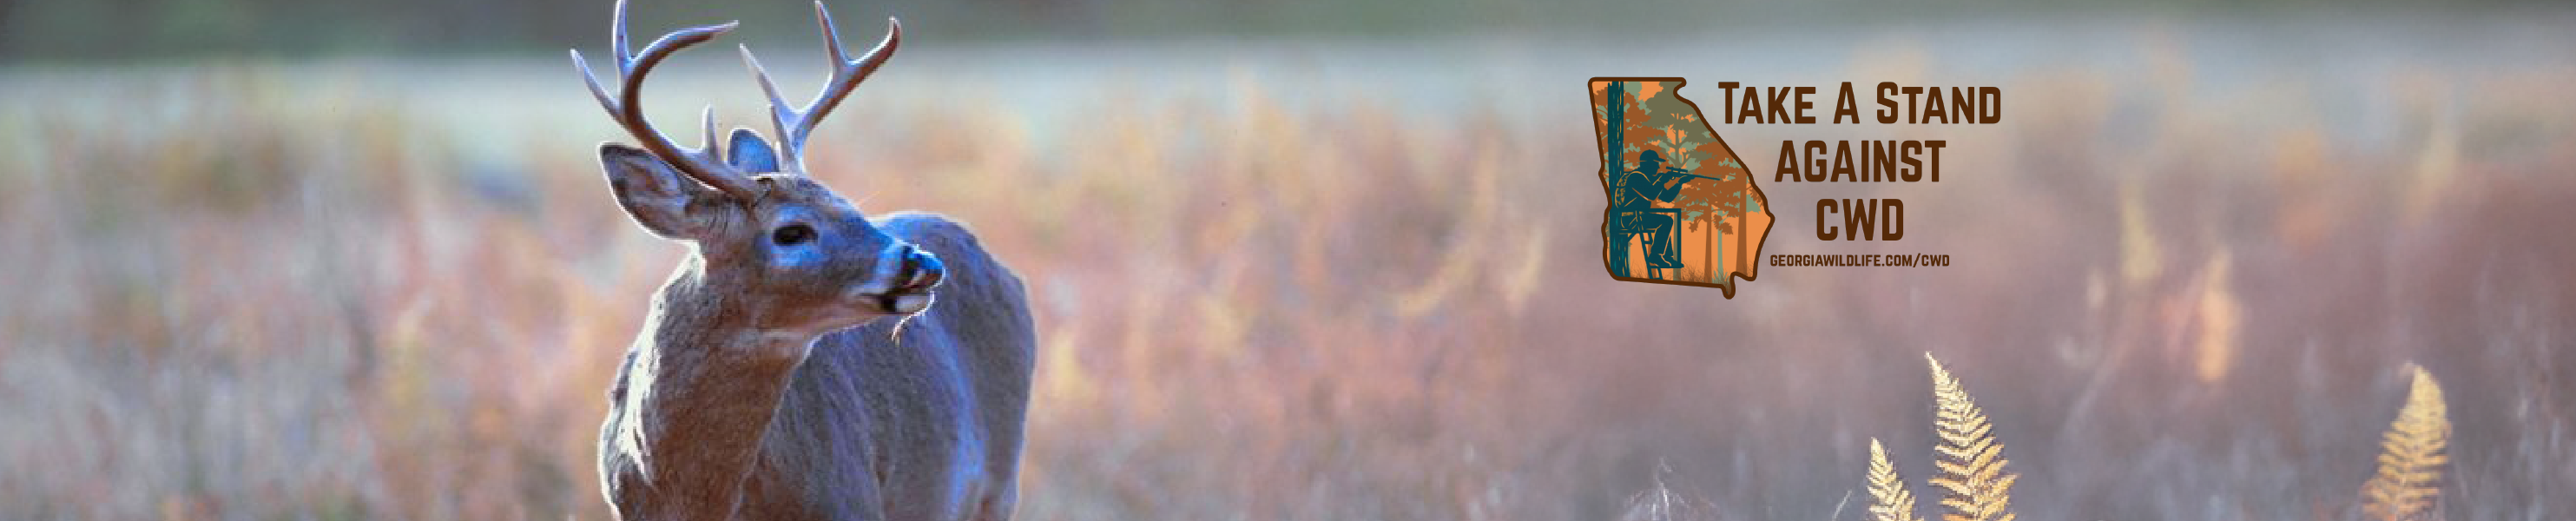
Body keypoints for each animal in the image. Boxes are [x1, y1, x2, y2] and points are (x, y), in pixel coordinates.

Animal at [570, 1, 1035, 519]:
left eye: (848, 204)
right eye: (791, 231)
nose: (924, 266)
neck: (694, 497)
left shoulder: (853, 501)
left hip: (999, 480)